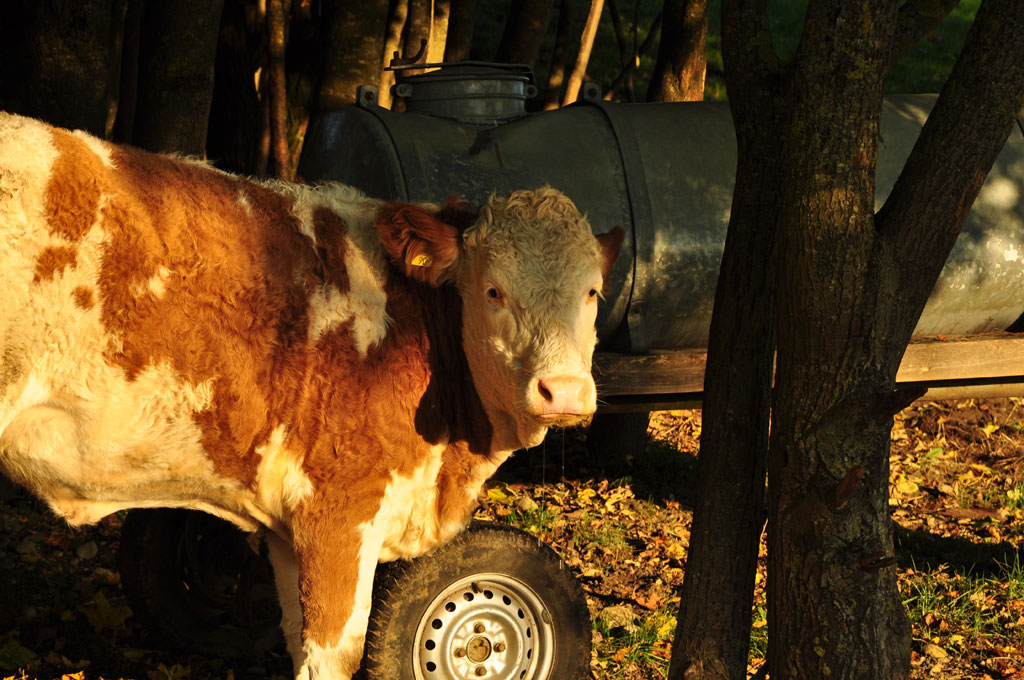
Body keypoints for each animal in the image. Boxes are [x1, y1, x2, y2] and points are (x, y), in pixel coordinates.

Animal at [0, 111, 624, 679]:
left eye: (593, 293)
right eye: (493, 291)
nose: (563, 391)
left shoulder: (286, 528)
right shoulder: (340, 508)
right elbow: (333, 656)